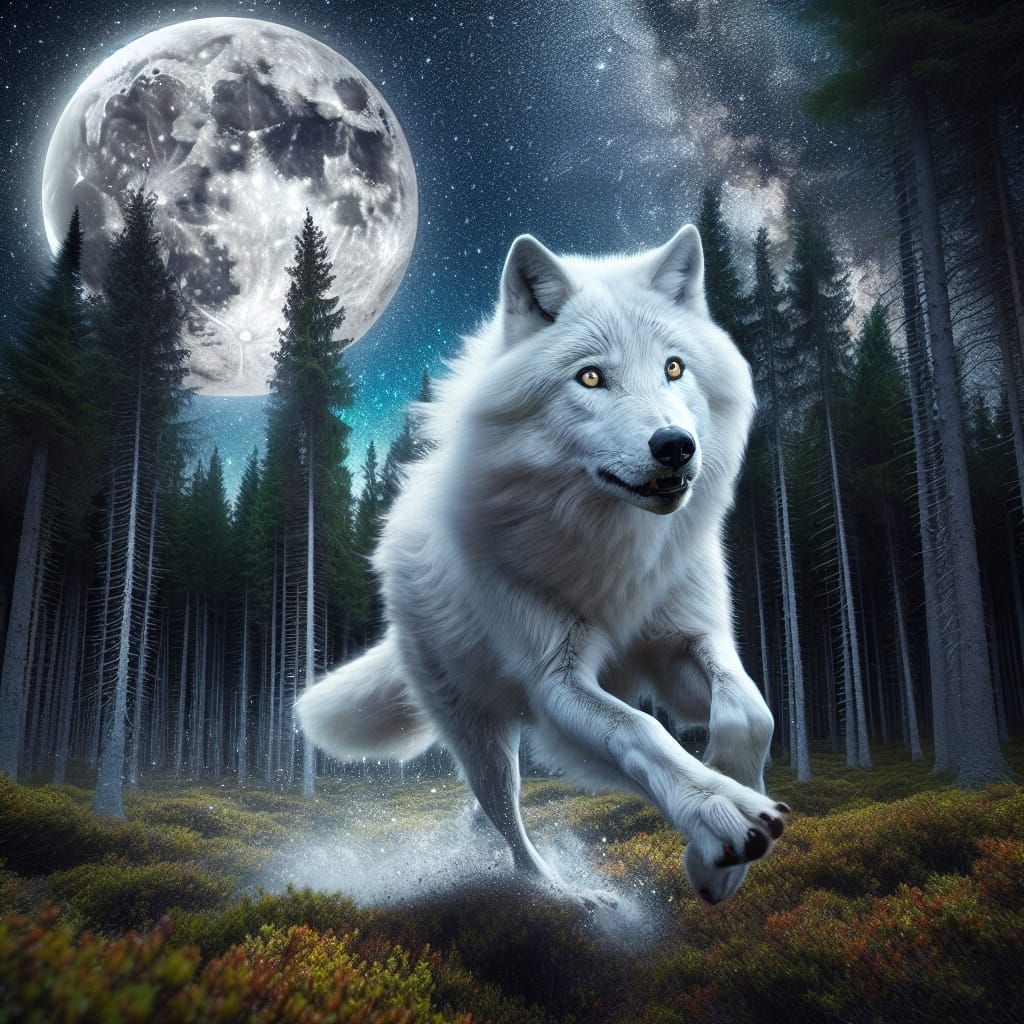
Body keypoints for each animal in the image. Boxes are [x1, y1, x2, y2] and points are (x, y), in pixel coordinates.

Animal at [296, 224, 789, 906]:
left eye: (673, 367)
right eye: (590, 377)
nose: (675, 446)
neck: (614, 550)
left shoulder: (684, 644)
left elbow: (751, 712)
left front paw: (718, 857)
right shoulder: (557, 682)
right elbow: (644, 733)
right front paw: (723, 818)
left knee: (487, 816)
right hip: (481, 735)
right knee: (507, 817)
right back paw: (563, 894)